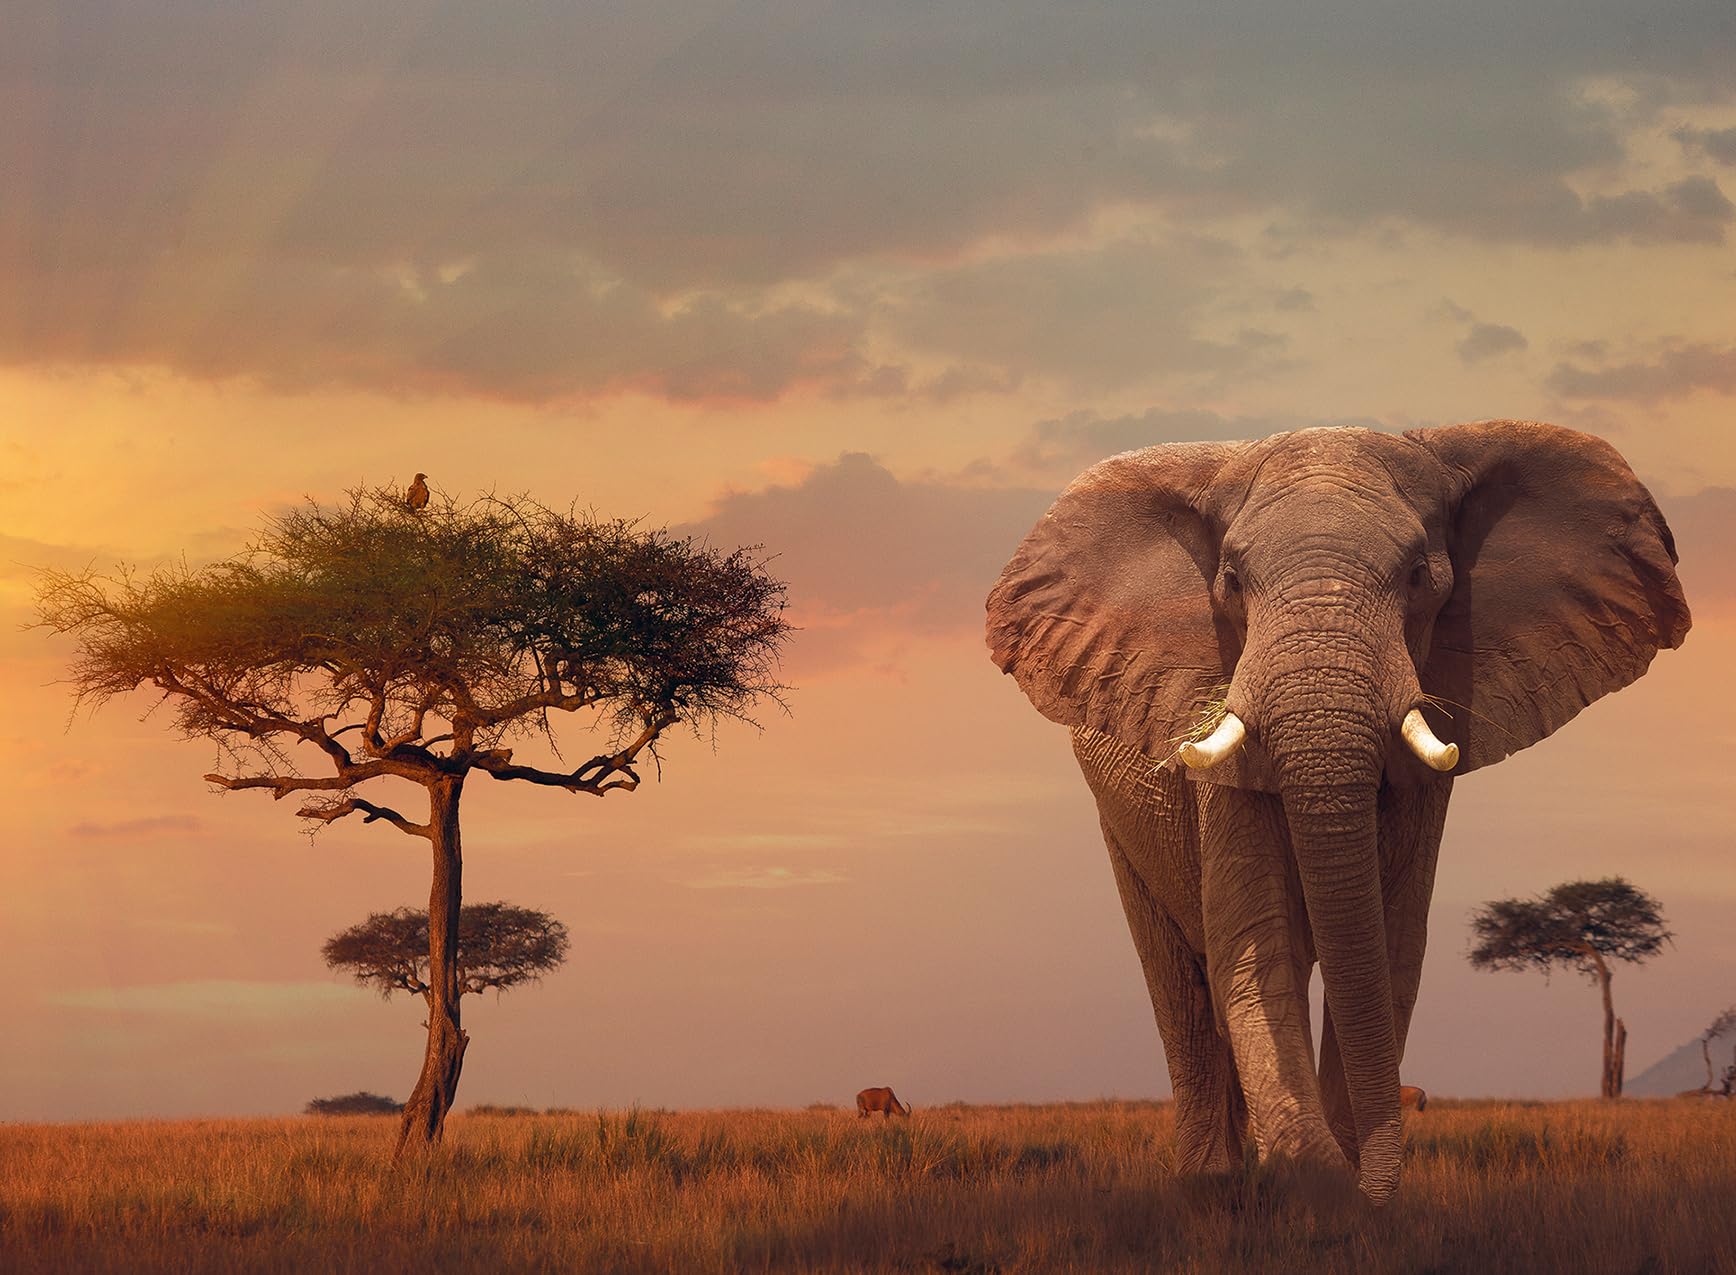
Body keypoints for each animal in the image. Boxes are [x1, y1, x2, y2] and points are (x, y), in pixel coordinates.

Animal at [985, 422, 1689, 1202]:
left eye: (1418, 576)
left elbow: (1390, 945)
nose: (1369, 1188)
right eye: (1232, 580)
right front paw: (1309, 1180)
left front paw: (1343, 1193)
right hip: (1118, 817)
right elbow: (1259, 940)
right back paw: (1213, 1182)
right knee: (1181, 981)